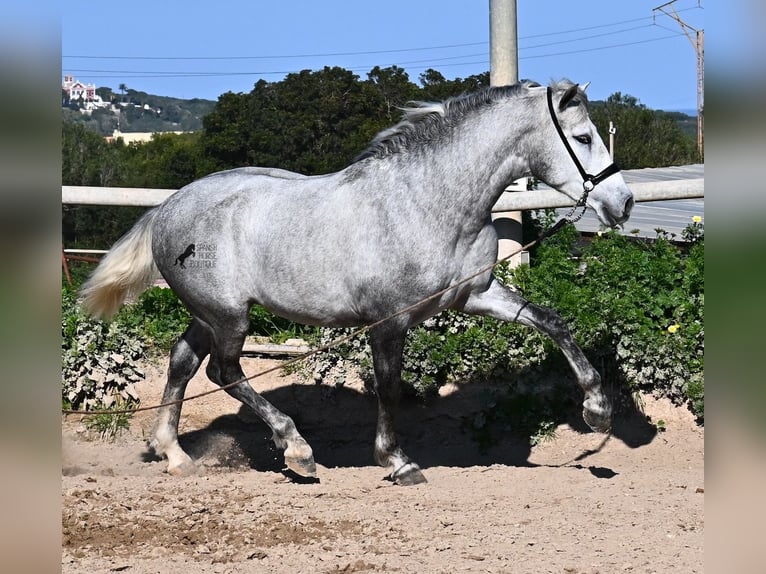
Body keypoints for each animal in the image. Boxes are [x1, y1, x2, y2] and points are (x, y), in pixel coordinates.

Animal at [82, 81, 636, 486]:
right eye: (583, 138)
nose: (623, 203)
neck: (426, 203)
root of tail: (168, 208)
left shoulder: (476, 295)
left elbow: (553, 323)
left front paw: (598, 411)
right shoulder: (388, 322)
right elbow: (389, 388)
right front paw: (398, 462)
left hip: (210, 315)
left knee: (182, 362)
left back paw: (174, 454)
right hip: (229, 316)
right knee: (224, 372)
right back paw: (297, 450)